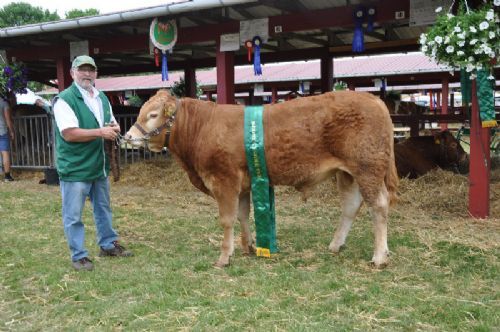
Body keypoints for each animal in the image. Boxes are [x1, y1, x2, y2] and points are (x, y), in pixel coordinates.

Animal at [125, 89, 398, 268]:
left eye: (152, 115)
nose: (127, 137)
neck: (202, 127)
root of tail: (372, 98)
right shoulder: (244, 184)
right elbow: (243, 215)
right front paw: (248, 247)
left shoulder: (224, 180)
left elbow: (227, 220)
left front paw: (224, 257)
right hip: (347, 173)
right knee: (351, 206)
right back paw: (336, 245)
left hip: (368, 169)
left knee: (378, 206)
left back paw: (379, 257)